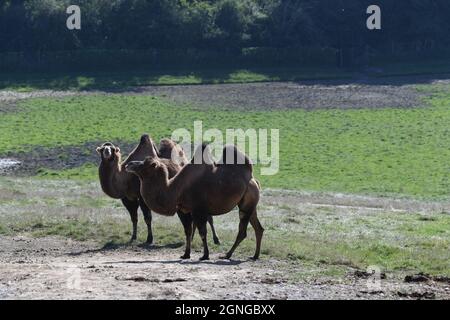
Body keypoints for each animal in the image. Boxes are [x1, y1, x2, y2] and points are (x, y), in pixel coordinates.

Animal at [125, 144, 264, 262]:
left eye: (146, 163)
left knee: (242, 231)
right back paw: (255, 256)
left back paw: (227, 255)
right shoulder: (183, 210)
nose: (129, 164)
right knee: (259, 228)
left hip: (246, 204)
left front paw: (205, 255)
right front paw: (186, 254)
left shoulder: (198, 210)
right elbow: (188, 231)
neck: (174, 190)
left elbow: (202, 232)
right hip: (250, 204)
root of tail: (254, 180)